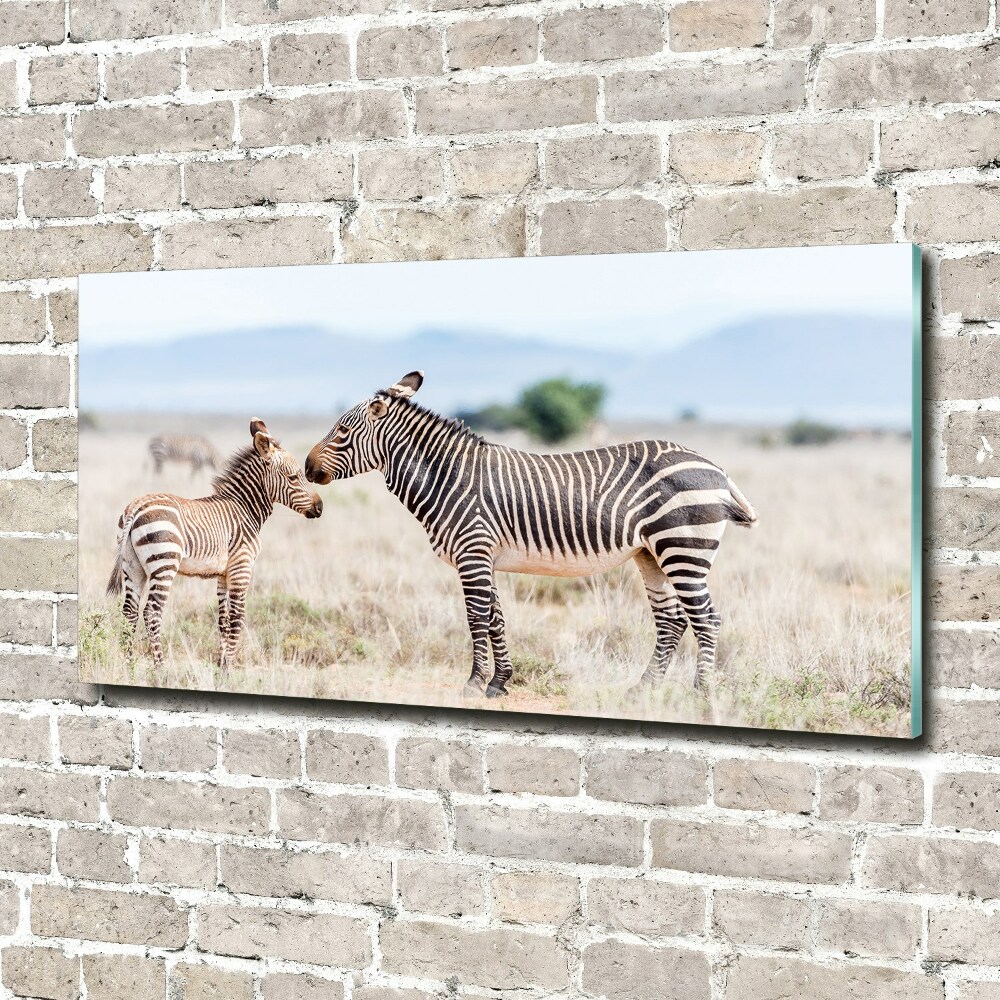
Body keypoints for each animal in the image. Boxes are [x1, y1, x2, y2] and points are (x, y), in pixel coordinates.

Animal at [110, 418, 322, 668]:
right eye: (293, 477)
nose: (320, 507)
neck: (245, 508)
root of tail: (136, 507)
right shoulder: (242, 568)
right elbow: (237, 618)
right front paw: (231, 666)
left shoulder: (223, 574)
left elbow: (223, 620)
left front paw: (222, 664)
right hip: (164, 564)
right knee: (152, 612)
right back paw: (160, 667)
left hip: (133, 566)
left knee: (129, 612)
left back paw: (128, 666)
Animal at [306, 372, 756, 700]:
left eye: (341, 432)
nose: (308, 470)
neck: (446, 477)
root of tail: (715, 467)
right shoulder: (483, 556)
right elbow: (496, 617)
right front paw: (500, 681)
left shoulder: (472, 550)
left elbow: (477, 617)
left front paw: (474, 684)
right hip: (651, 554)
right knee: (672, 620)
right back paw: (643, 690)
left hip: (683, 547)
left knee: (706, 618)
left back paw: (701, 694)